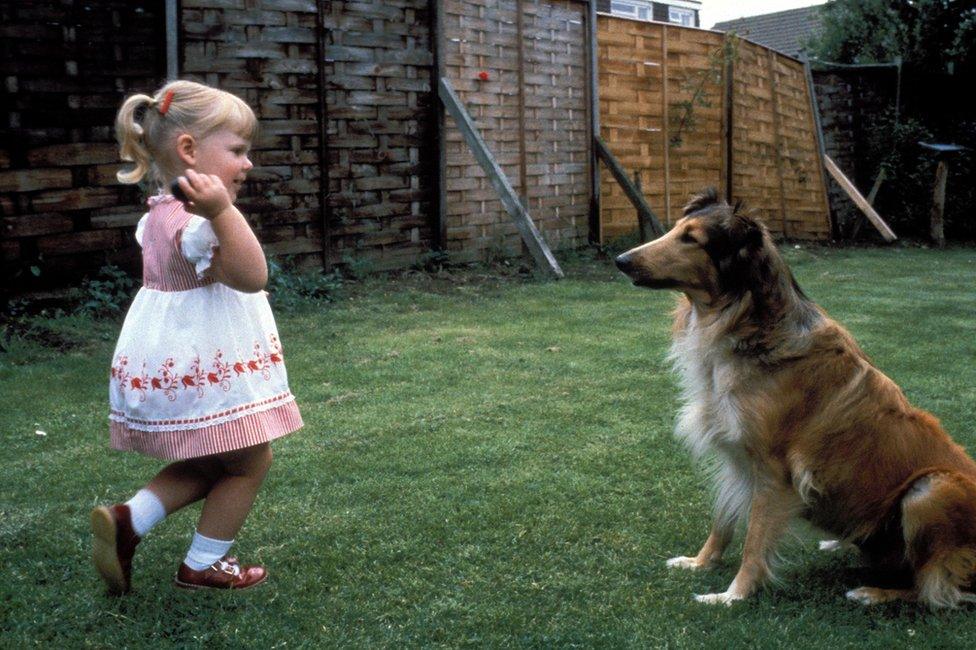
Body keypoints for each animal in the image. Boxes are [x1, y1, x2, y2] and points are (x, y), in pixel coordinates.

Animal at [616, 189, 976, 608]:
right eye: (675, 229)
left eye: (692, 239)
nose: (620, 260)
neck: (751, 325)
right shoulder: (735, 459)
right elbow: (722, 521)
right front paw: (700, 563)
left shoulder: (774, 473)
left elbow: (754, 543)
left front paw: (733, 596)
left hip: (929, 490)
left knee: (937, 588)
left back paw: (873, 592)